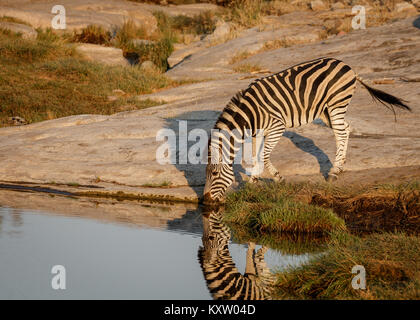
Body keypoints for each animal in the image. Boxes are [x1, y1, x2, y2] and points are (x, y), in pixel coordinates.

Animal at [203, 57, 410, 202]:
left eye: (214, 174)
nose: (206, 201)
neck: (250, 114)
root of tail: (347, 65)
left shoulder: (277, 126)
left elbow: (265, 156)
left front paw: (277, 178)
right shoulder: (258, 132)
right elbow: (255, 155)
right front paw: (254, 182)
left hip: (336, 103)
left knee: (341, 132)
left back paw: (334, 172)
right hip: (327, 111)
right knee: (345, 129)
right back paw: (340, 165)